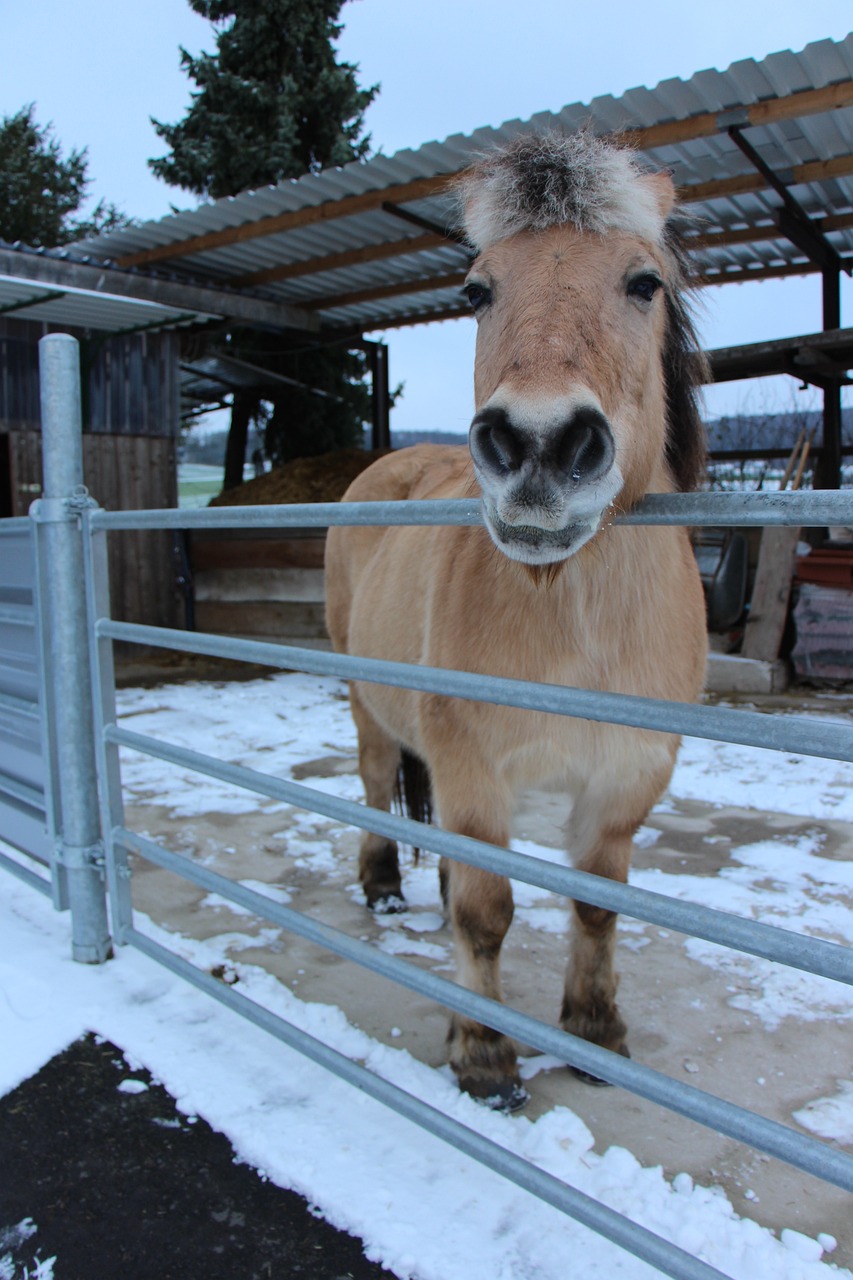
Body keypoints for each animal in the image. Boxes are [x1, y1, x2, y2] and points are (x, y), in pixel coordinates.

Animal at [324, 132, 701, 1111]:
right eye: (475, 291)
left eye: (642, 282)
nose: (537, 445)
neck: (575, 628)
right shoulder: (473, 774)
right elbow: (486, 914)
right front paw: (483, 1057)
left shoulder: (622, 783)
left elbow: (597, 905)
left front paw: (594, 1034)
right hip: (367, 702)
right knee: (376, 787)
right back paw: (382, 888)